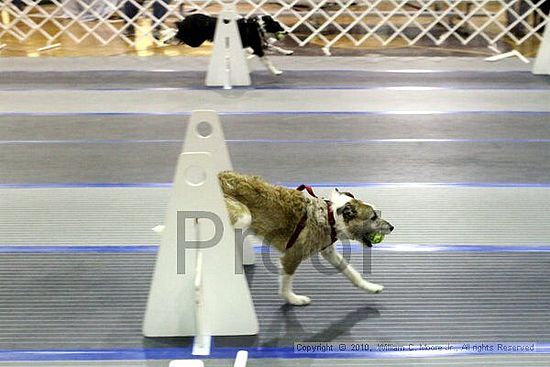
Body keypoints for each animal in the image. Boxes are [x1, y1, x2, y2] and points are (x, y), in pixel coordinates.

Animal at [218, 172, 394, 308]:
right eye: (373, 217)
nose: (392, 227)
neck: (330, 217)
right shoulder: (291, 256)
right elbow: (286, 284)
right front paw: (293, 299)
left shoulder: (329, 252)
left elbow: (351, 272)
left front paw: (370, 287)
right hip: (244, 216)